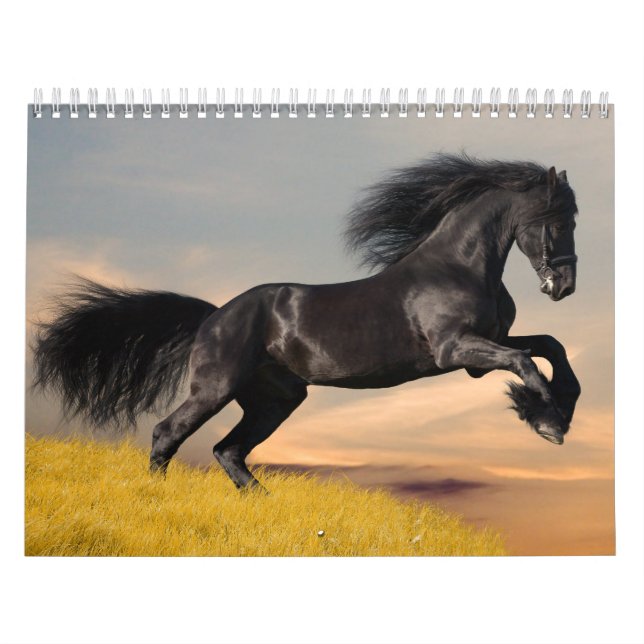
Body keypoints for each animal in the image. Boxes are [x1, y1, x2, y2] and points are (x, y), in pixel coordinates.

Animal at [32, 153, 581, 491]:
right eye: (557, 221)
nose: (564, 286)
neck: (458, 266)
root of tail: (214, 316)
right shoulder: (457, 350)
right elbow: (525, 362)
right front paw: (547, 421)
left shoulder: (483, 348)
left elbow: (549, 347)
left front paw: (559, 408)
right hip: (216, 388)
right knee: (169, 433)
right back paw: (159, 497)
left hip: (276, 399)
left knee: (228, 450)